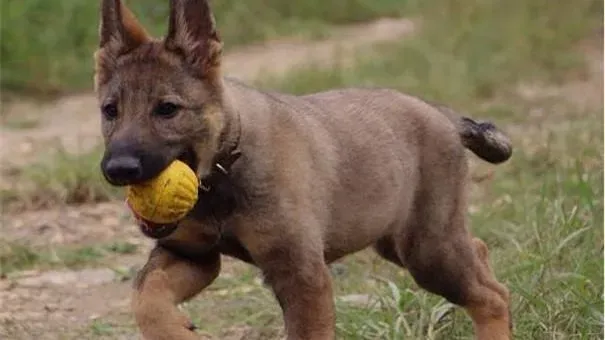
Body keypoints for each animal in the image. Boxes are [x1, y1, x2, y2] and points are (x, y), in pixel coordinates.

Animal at [96, 0, 512, 340]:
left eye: (167, 109)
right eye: (109, 110)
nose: (118, 169)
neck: (224, 168)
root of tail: (443, 114)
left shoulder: (300, 274)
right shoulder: (192, 255)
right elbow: (145, 295)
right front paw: (176, 331)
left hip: (426, 250)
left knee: (490, 297)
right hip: (399, 240)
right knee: (481, 256)